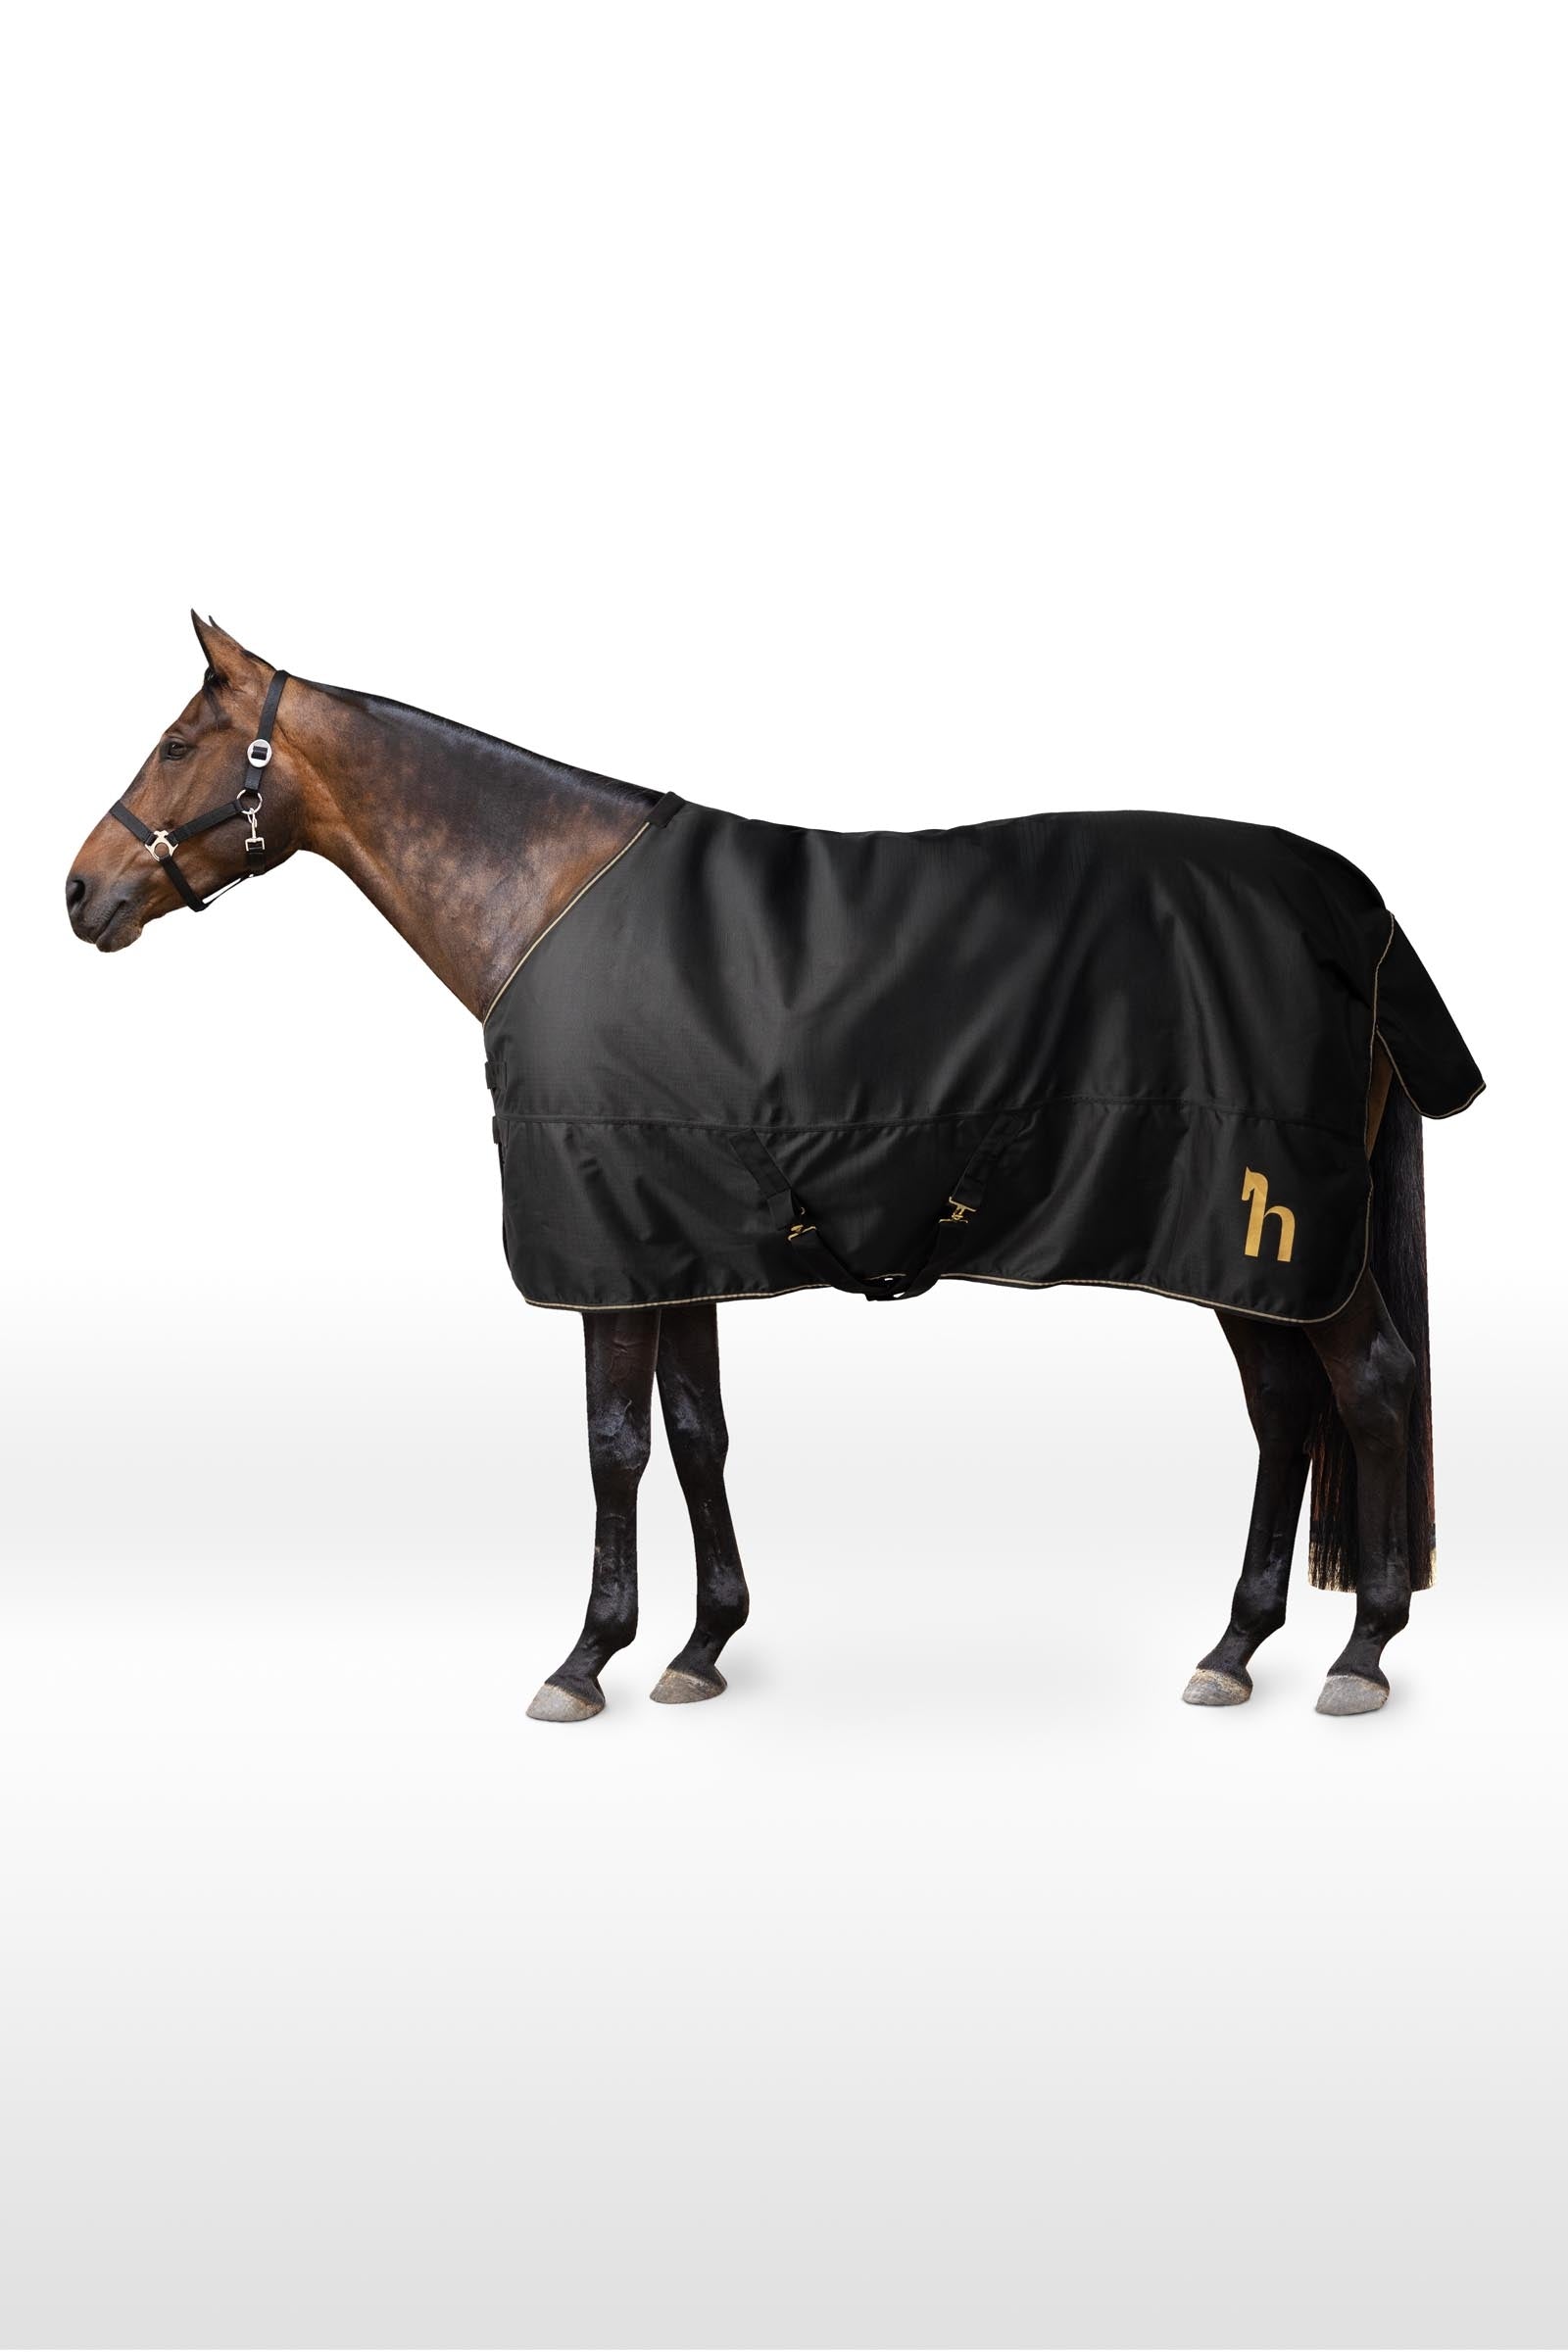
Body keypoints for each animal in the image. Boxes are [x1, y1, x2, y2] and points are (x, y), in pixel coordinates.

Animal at [65, 615, 1481, 1723]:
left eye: (179, 744)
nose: (81, 892)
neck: (549, 893)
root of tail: (1357, 909)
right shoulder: (672, 1238)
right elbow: (697, 1433)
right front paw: (701, 1646)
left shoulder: (608, 1248)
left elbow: (614, 1446)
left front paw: (585, 1660)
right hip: (1238, 1248)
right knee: (1286, 1410)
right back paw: (1236, 1647)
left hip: (1276, 1226)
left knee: (1369, 1384)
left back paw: (1362, 1651)